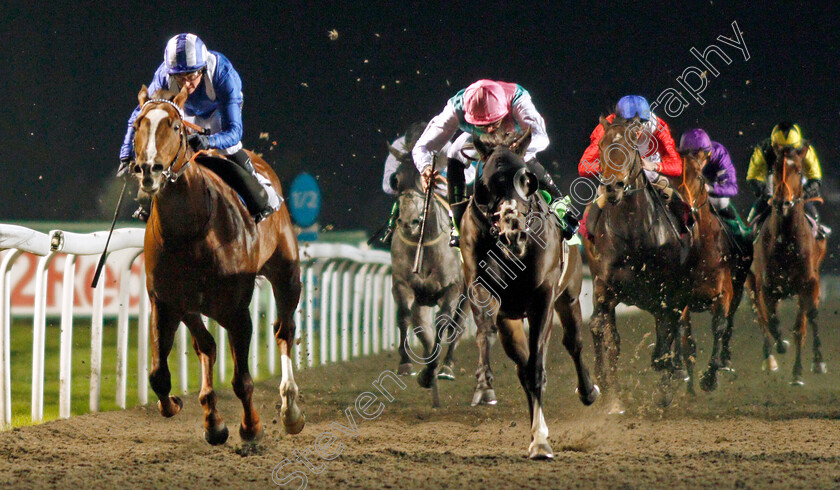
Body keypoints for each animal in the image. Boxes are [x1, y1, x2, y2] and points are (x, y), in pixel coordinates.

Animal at [130, 86, 304, 446]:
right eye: (138, 124)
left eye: (175, 126)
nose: (149, 169)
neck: (189, 231)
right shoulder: (167, 302)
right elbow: (160, 374)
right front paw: (183, 407)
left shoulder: (237, 310)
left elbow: (242, 380)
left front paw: (251, 427)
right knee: (206, 346)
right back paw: (212, 418)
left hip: (286, 274)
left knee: (284, 330)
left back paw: (290, 410)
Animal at [388, 148, 466, 406]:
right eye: (395, 179)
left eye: (425, 184)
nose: (408, 222)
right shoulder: (402, 285)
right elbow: (404, 317)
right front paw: (406, 364)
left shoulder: (452, 287)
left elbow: (443, 322)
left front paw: (432, 370)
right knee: (422, 327)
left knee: (457, 327)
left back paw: (446, 367)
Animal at [460, 128, 596, 458]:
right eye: (487, 183)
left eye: (528, 181)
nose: (515, 232)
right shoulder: (482, 287)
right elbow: (486, 329)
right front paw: (484, 385)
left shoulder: (542, 297)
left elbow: (537, 368)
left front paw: (541, 443)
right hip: (511, 319)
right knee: (521, 363)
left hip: (569, 296)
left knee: (573, 343)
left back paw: (587, 391)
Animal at [584, 117, 696, 412]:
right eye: (602, 146)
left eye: (630, 146)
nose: (613, 187)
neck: (633, 232)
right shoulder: (605, 287)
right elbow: (607, 336)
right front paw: (612, 398)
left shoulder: (667, 292)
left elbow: (666, 339)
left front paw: (667, 386)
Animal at [748, 142, 828, 382]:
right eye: (774, 170)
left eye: (799, 171)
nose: (783, 201)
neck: (786, 241)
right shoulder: (766, 286)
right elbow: (771, 321)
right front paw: (780, 345)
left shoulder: (808, 282)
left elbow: (805, 322)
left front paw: (808, 366)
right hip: (750, 282)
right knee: (760, 317)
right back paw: (770, 358)